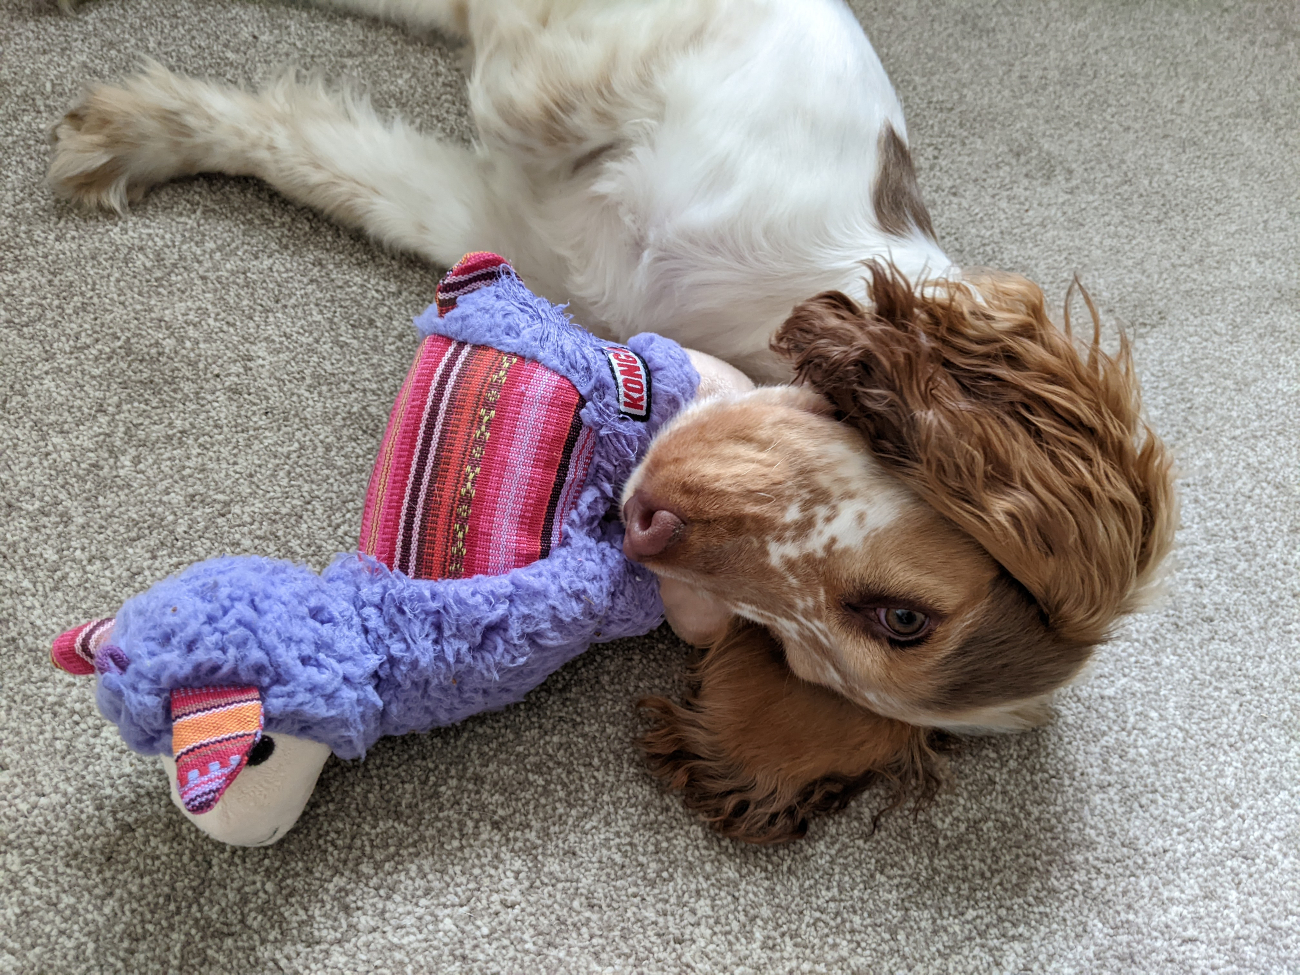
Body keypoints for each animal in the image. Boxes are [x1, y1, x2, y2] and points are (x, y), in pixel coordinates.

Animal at [48, 0, 1180, 842]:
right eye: (904, 618)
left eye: (788, 651)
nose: (644, 529)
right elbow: (523, 80)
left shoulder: (496, 217)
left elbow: (325, 150)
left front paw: (135, 131)